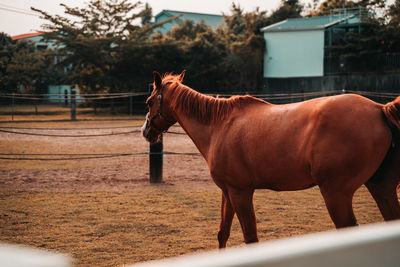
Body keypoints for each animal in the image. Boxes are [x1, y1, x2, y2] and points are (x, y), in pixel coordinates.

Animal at [141, 71, 400, 249]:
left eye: (149, 101)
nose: (146, 131)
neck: (220, 126)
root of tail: (379, 108)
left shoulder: (241, 192)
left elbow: (251, 238)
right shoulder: (228, 191)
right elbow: (223, 233)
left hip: (336, 194)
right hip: (381, 188)